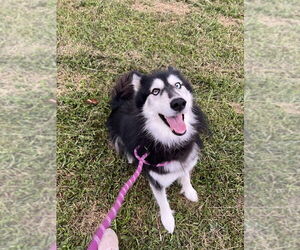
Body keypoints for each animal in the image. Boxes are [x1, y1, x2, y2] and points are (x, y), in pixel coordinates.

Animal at [106, 66, 207, 232]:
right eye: (155, 91)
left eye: (178, 85)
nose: (178, 103)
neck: (171, 144)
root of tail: (119, 101)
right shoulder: (155, 179)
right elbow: (163, 201)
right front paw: (168, 220)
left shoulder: (186, 161)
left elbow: (186, 176)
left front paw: (189, 191)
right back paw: (130, 156)